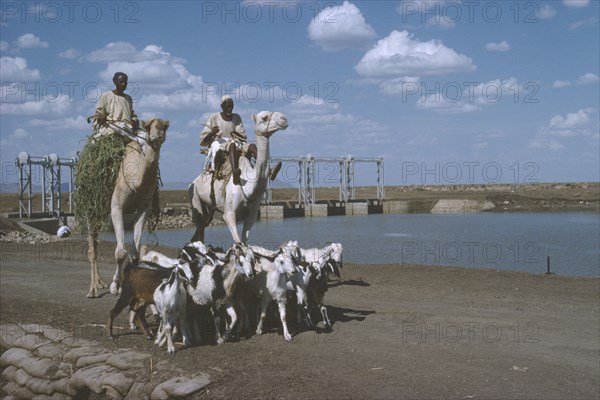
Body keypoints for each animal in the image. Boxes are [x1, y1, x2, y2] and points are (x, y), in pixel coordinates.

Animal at [94, 119, 168, 296]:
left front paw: (126, 284)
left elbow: (134, 253)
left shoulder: (144, 209)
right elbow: (120, 253)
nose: (156, 135)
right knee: (92, 242)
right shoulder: (116, 207)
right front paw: (115, 287)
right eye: (148, 126)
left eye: (165, 126)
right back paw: (94, 287)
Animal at [190, 111, 288, 245]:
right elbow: (238, 242)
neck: (248, 187)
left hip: (210, 208)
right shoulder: (229, 213)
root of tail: (193, 182)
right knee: (200, 226)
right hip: (194, 196)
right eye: (264, 117)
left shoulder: (252, 215)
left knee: (203, 226)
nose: (284, 118)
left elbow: (244, 241)